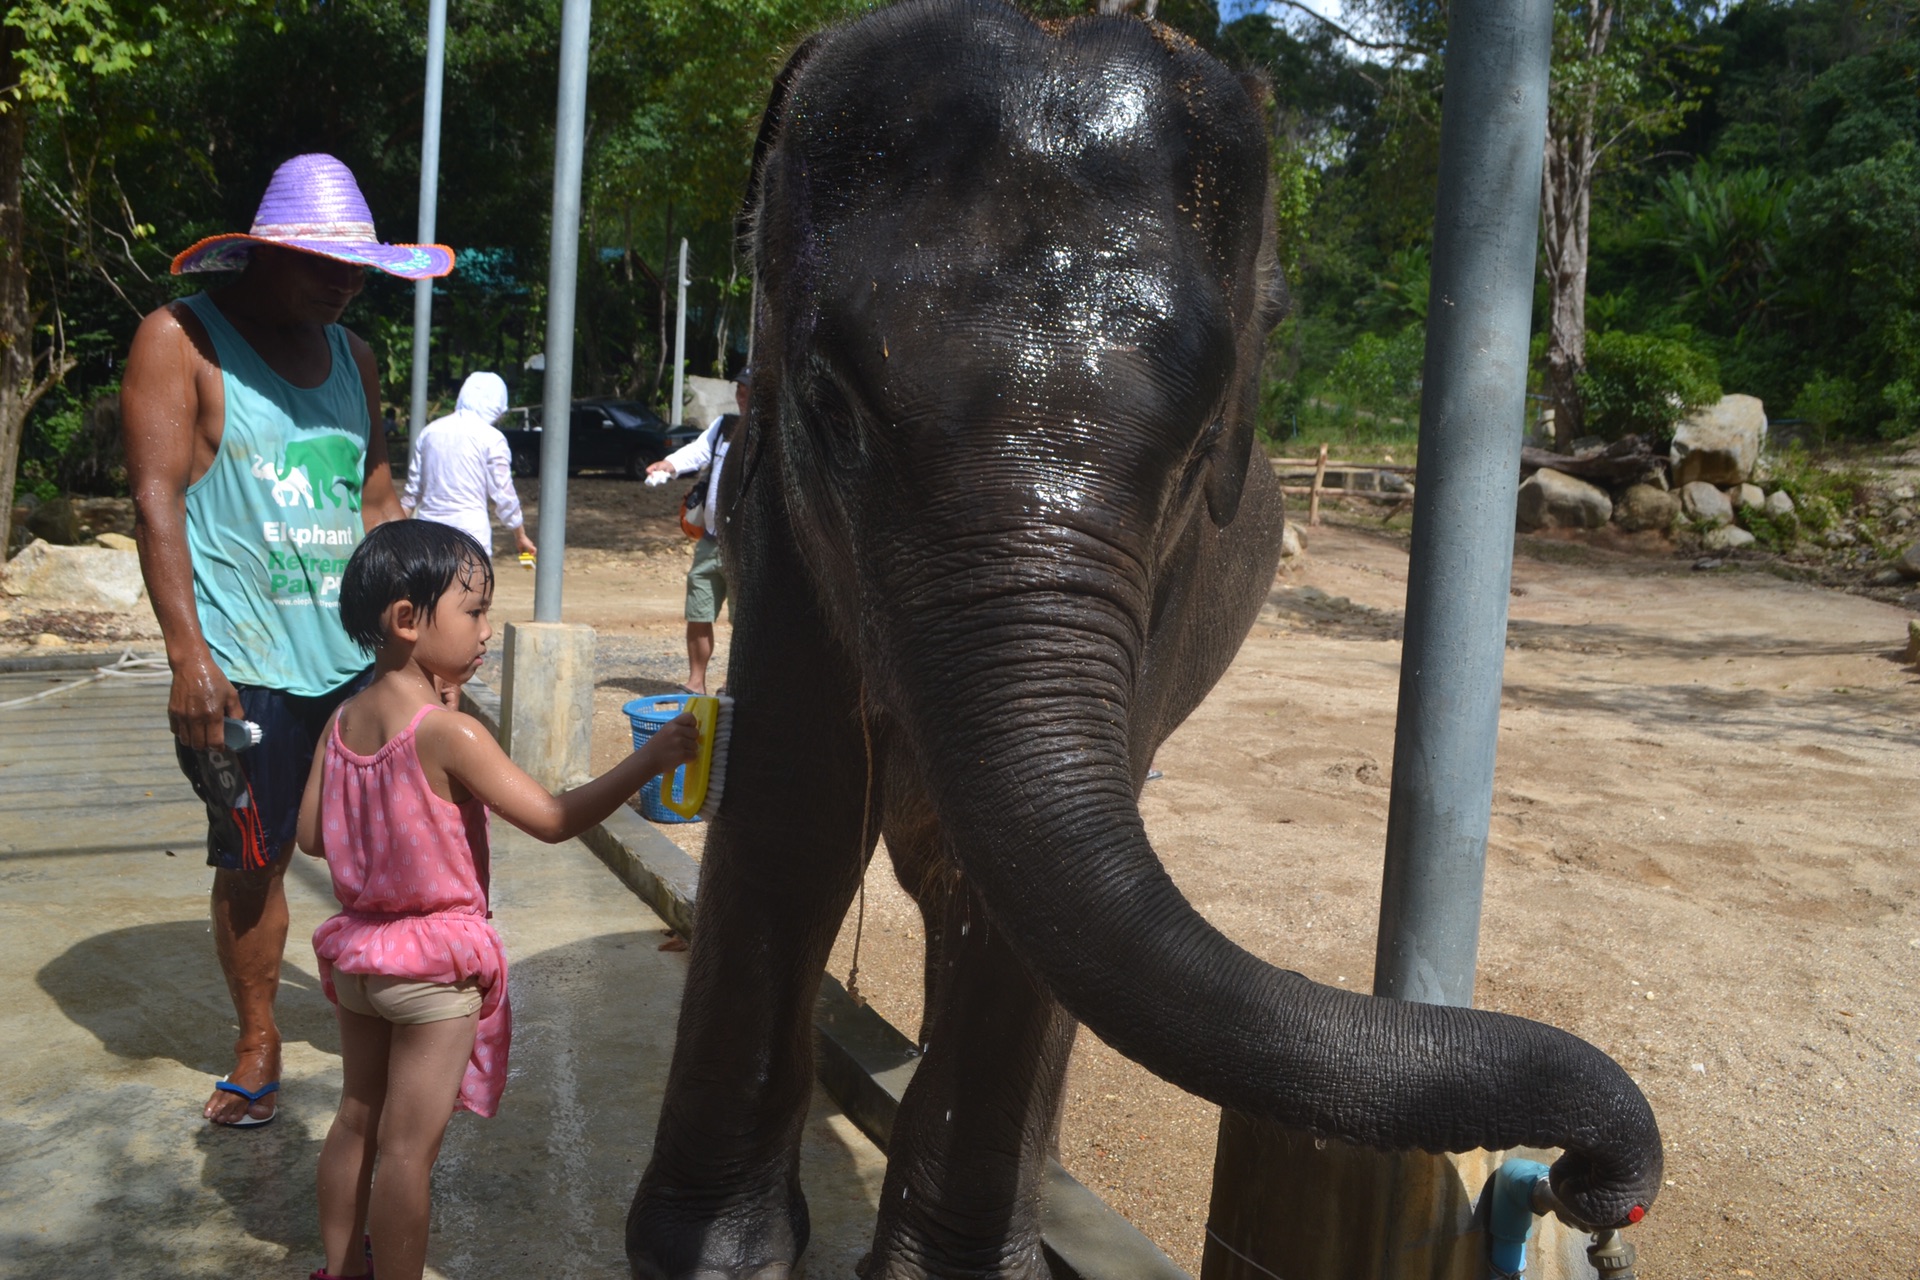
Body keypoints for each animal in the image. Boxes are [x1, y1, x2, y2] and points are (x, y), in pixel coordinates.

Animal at [622, 2, 1658, 1280]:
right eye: (830, 402)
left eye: (1205, 435)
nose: (1589, 1183)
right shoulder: (773, 506)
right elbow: (793, 800)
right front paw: (713, 1260)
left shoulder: (1181, 574)